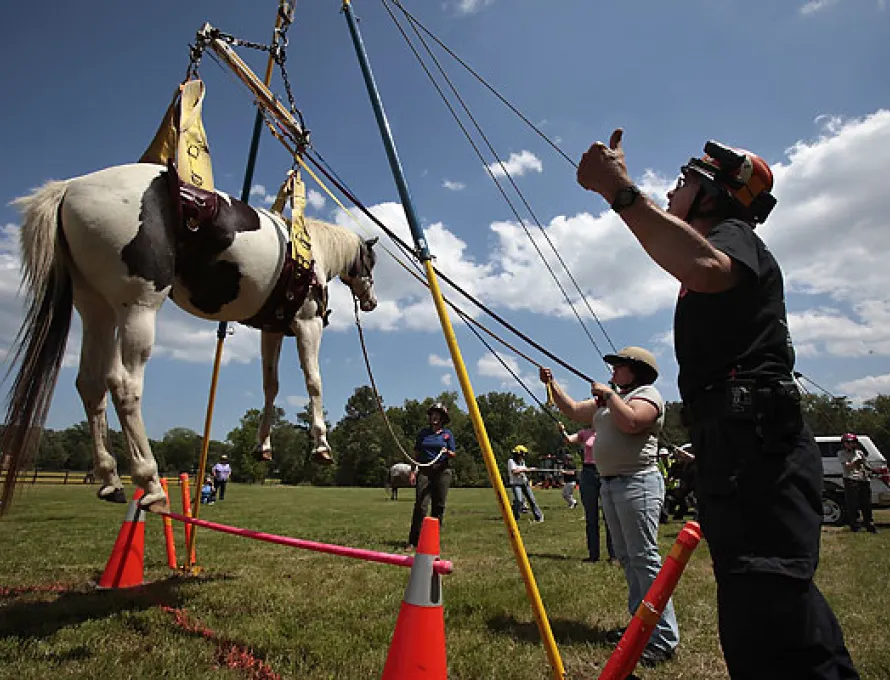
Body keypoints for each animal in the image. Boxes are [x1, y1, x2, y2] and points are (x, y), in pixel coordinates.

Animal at [0, 162, 376, 510]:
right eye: (370, 263)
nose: (371, 302)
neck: (312, 253)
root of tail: (69, 188)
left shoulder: (272, 330)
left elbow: (271, 385)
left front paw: (263, 447)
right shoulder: (307, 324)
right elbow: (314, 380)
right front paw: (322, 446)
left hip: (95, 309)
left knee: (91, 385)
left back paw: (111, 480)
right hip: (139, 306)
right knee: (123, 385)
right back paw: (149, 482)